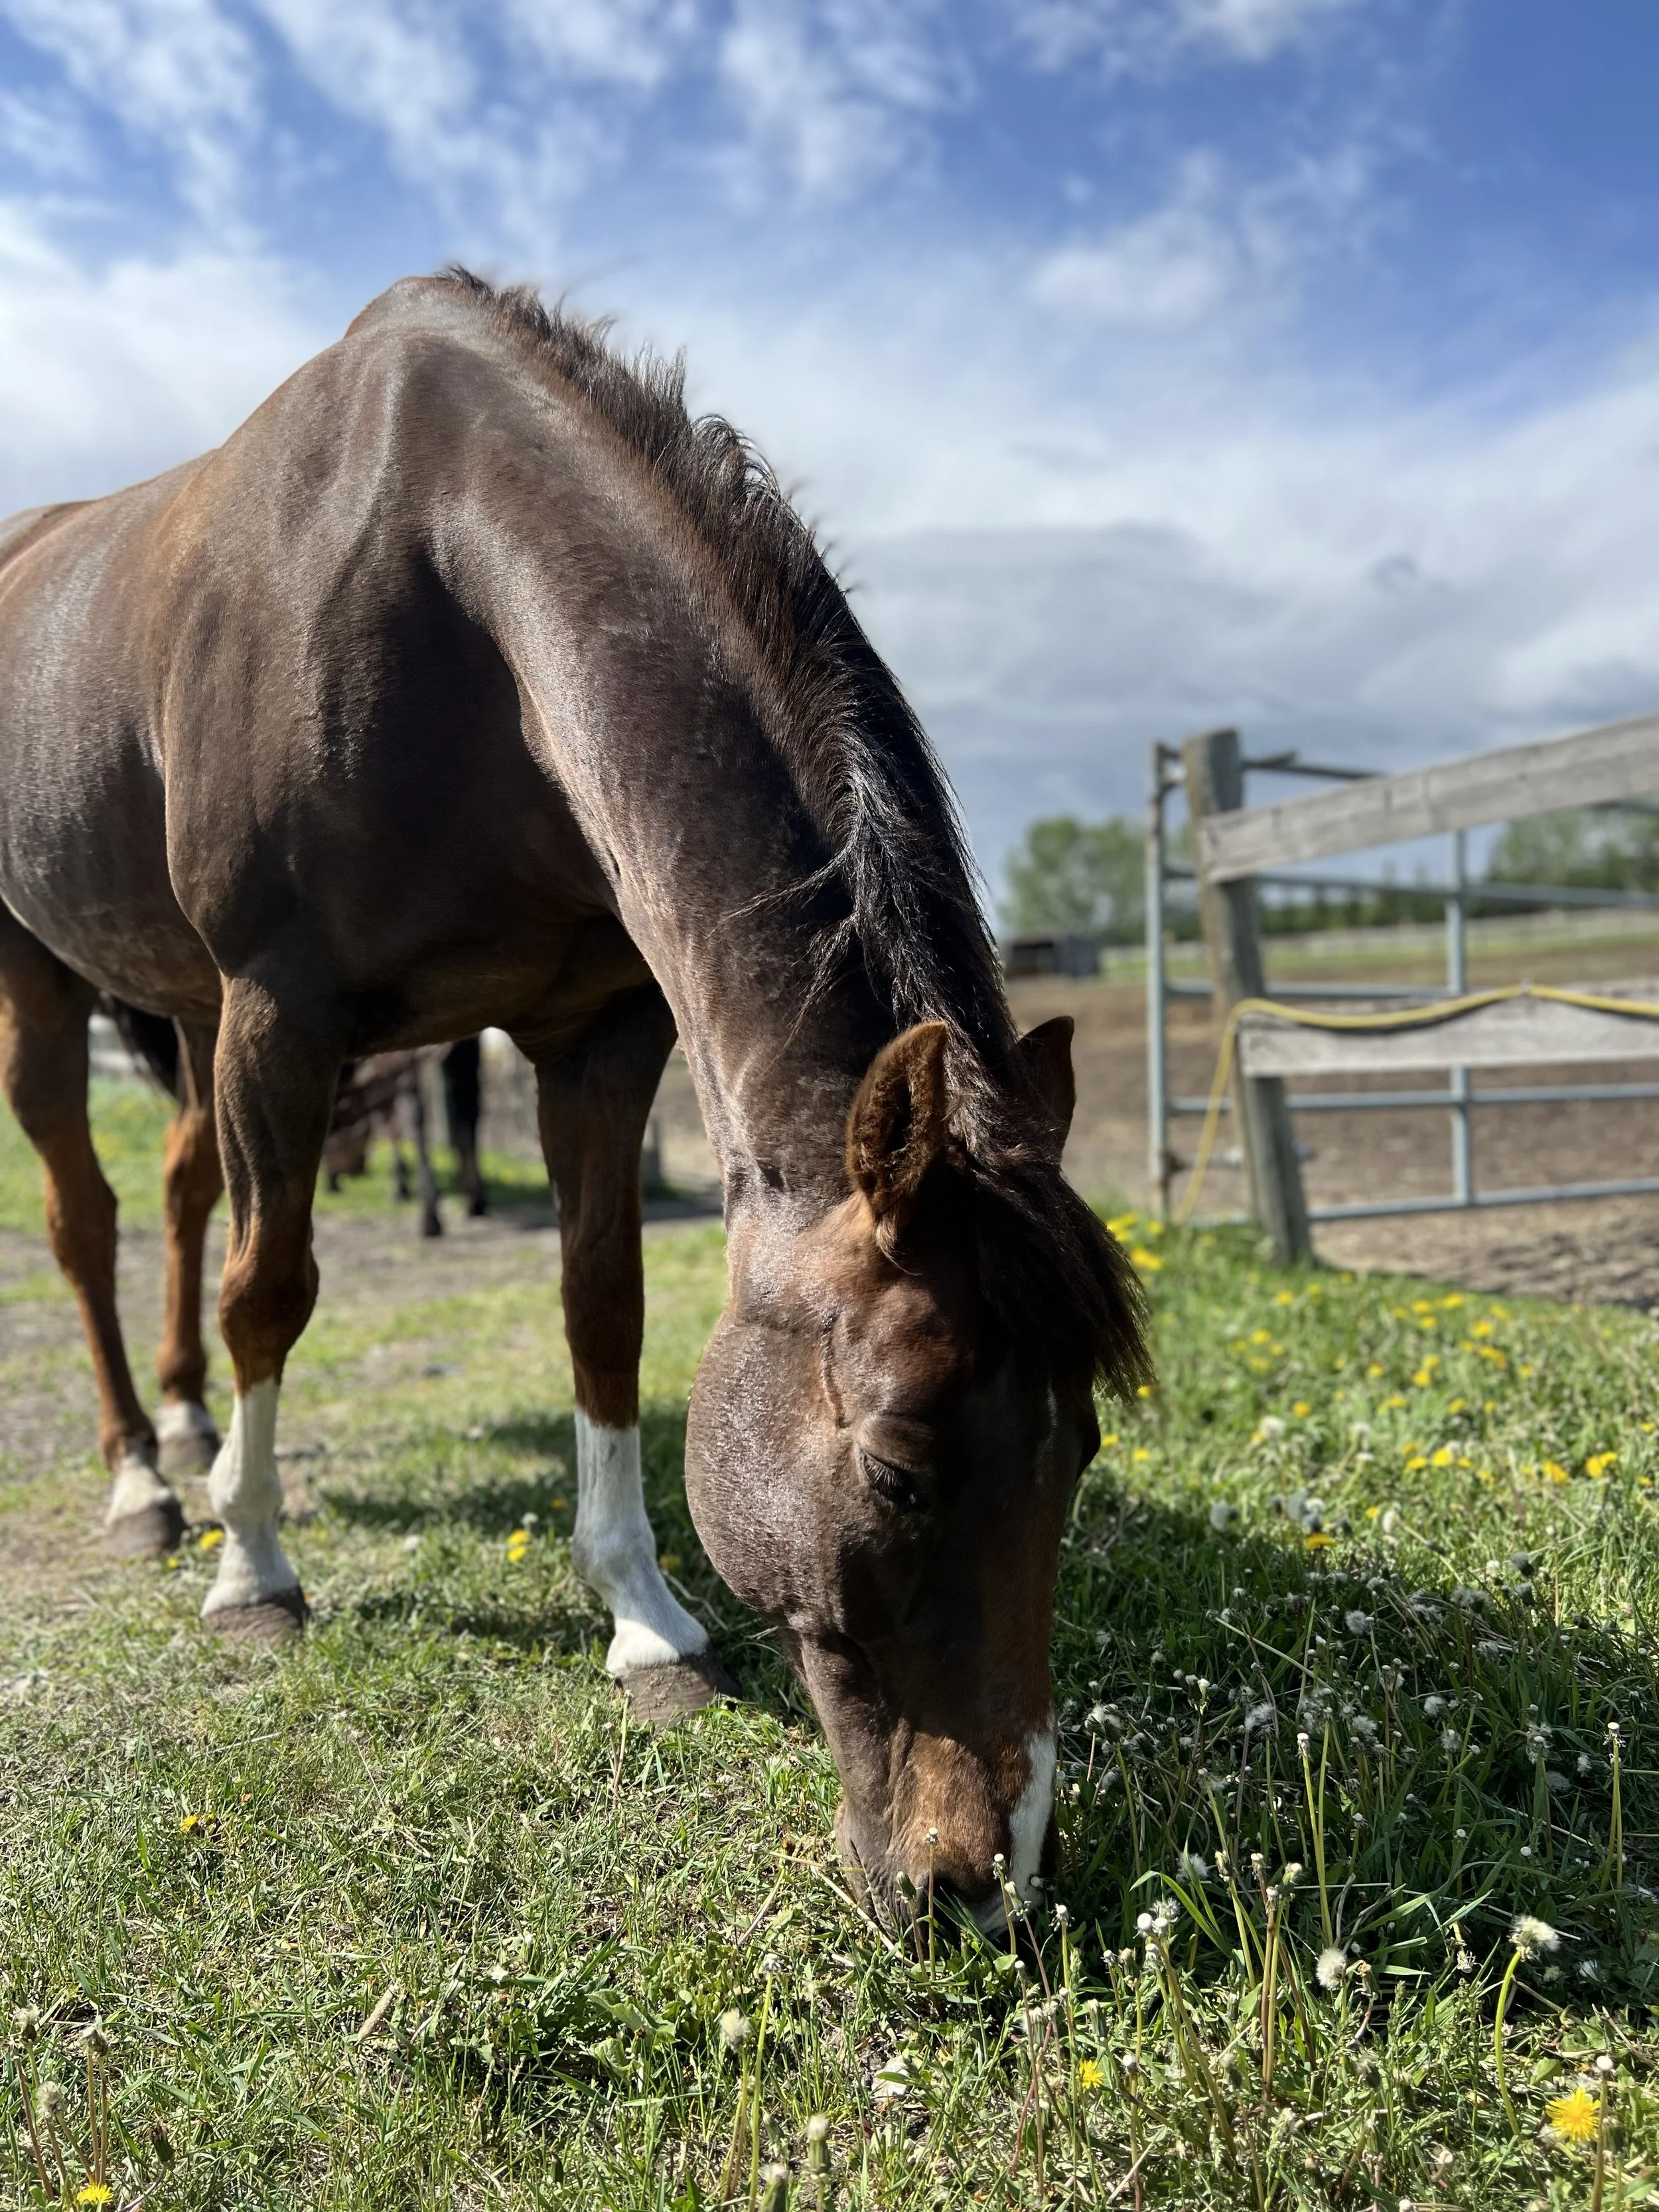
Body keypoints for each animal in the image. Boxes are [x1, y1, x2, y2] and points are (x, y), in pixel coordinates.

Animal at [0, 270, 1147, 1929]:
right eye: (899, 1474)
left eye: (1081, 1453)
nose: (984, 1883)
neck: (436, 584)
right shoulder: (282, 1008)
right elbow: (272, 1290)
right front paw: (252, 1575)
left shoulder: (595, 1030)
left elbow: (600, 1306)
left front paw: (645, 1620)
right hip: (55, 983)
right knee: (89, 1223)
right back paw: (149, 1485)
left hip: (190, 1014)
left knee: (178, 1197)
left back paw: (190, 1430)